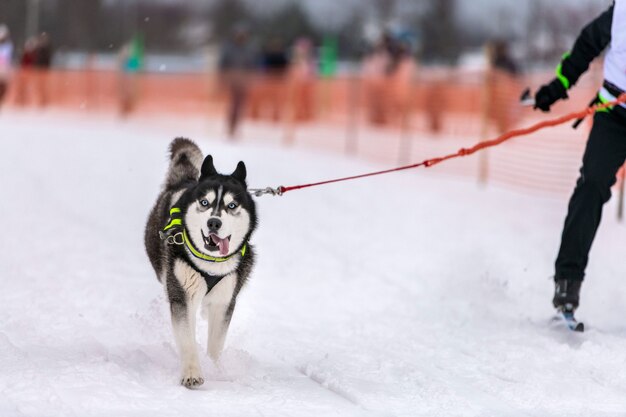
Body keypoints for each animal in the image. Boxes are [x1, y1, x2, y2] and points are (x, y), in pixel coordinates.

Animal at [144, 137, 256, 386]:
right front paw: (192, 372)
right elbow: (187, 338)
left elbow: (216, 343)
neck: (211, 263)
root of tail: (184, 180)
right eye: (205, 202)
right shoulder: (183, 295)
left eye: (232, 205)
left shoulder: (225, 301)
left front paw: (215, 368)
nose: (214, 222)